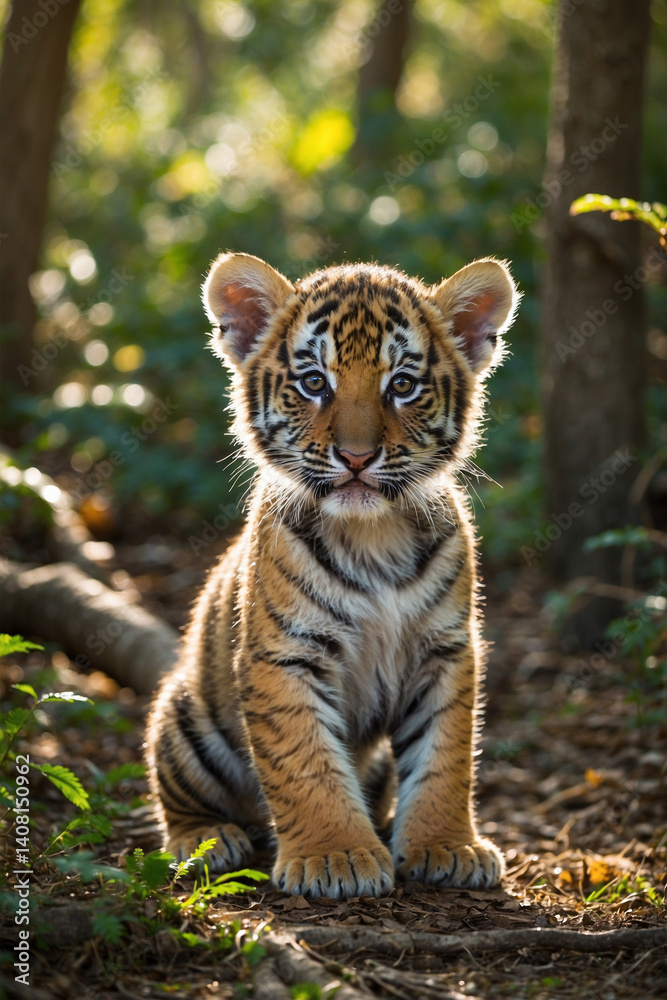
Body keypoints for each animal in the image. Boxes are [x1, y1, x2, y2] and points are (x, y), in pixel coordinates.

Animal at [145, 250, 519, 899]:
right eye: (315, 382)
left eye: (403, 385)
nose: (357, 457)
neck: (373, 536)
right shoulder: (285, 656)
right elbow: (304, 761)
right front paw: (335, 857)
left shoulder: (445, 651)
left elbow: (445, 757)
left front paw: (447, 846)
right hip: (183, 713)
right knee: (179, 800)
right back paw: (208, 840)